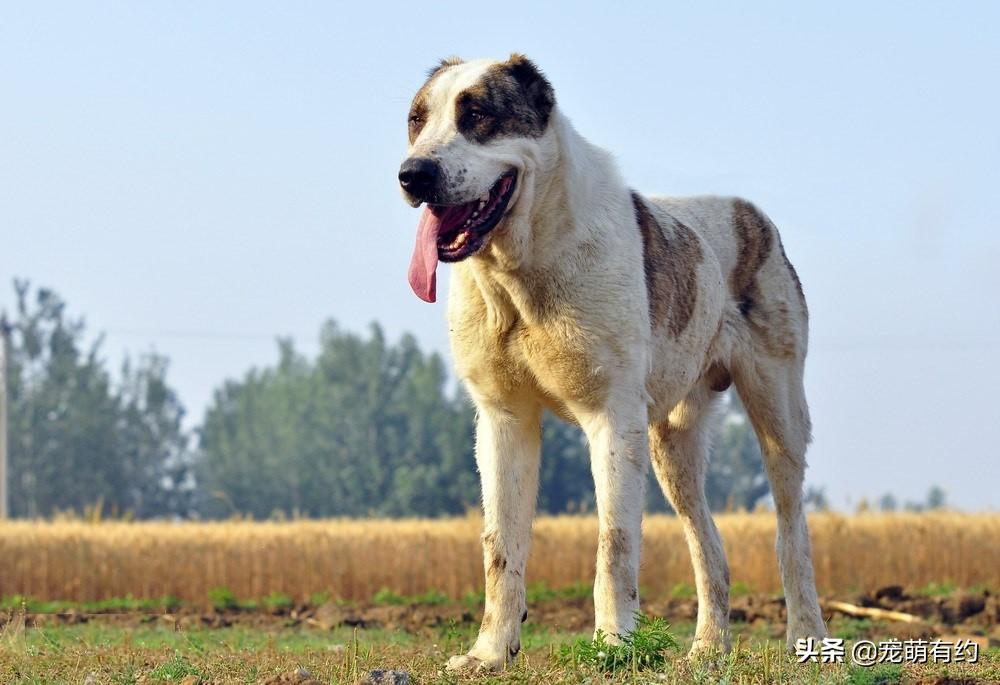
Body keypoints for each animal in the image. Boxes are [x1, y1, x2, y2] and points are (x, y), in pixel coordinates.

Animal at [398, 54, 828, 672]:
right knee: (708, 546)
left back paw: (806, 639)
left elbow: (614, 544)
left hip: (779, 415)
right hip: (671, 444)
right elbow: (500, 548)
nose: (413, 174)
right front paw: (490, 653)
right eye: (417, 120)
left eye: (475, 114)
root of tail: (753, 214)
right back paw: (707, 650)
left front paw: (614, 646)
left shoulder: (612, 419)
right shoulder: (503, 421)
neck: (523, 270)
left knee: (792, 532)